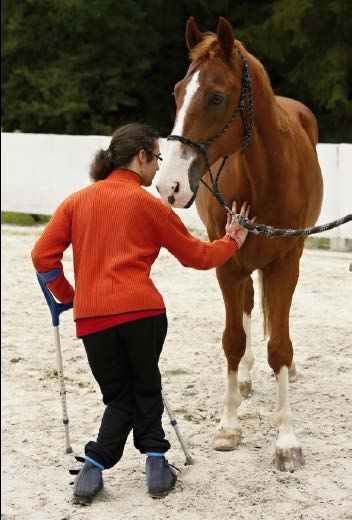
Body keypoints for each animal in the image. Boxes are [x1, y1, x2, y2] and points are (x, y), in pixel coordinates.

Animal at [158, 16, 324, 472]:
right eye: (177, 92)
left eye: (215, 97)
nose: (168, 185)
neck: (264, 175)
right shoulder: (226, 263)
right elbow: (233, 340)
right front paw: (229, 426)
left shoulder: (286, 263)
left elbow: (280, 346)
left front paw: (286, 440)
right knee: (249, 306)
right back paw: (247, 378)